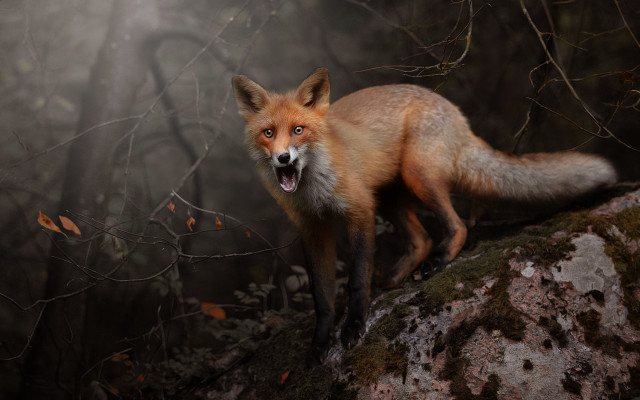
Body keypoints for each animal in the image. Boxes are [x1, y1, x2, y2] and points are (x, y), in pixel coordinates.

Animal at [232, 68, 617, 364]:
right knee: (422, 238)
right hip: (390, 196)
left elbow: (356, 280)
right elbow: (323, 298)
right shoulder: (314, 230)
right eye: (269, 133)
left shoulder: (359, 211)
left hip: (417, 176)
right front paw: (319, 345)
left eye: (299, 130)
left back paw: (439, 261)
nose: (283, 158)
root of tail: (453, 110)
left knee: (457, 226)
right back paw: (398, 275)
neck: (314, 189)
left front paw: (354, 326)